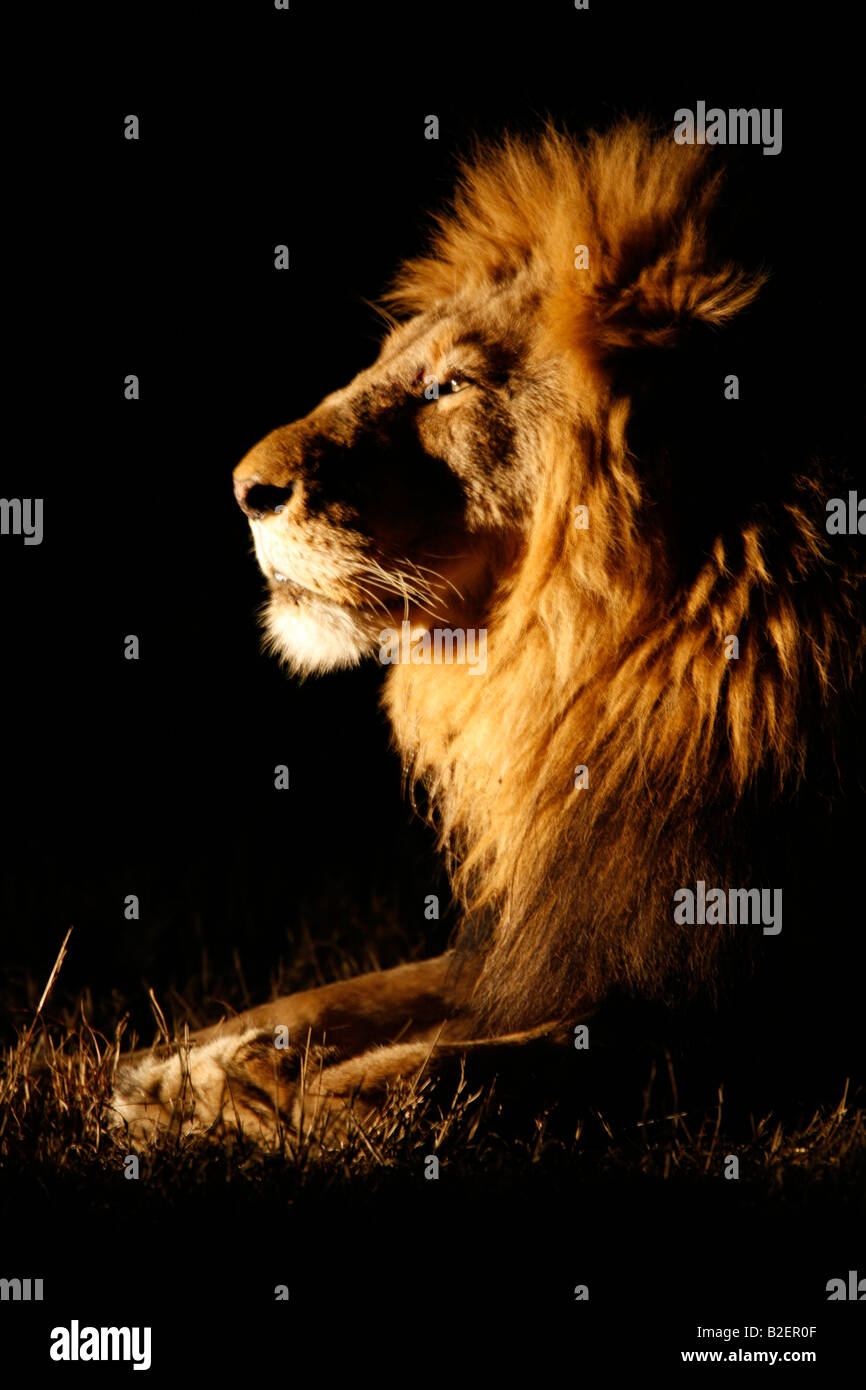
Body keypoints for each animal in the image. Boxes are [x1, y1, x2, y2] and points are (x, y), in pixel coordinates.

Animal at [112, 119, 864, 1145]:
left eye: (451, 387)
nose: (243, 491)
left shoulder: (761, 1015)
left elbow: (488, 1065)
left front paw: (317, 1099)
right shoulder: (542, 935)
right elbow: (336, 994)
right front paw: (181, 1071)